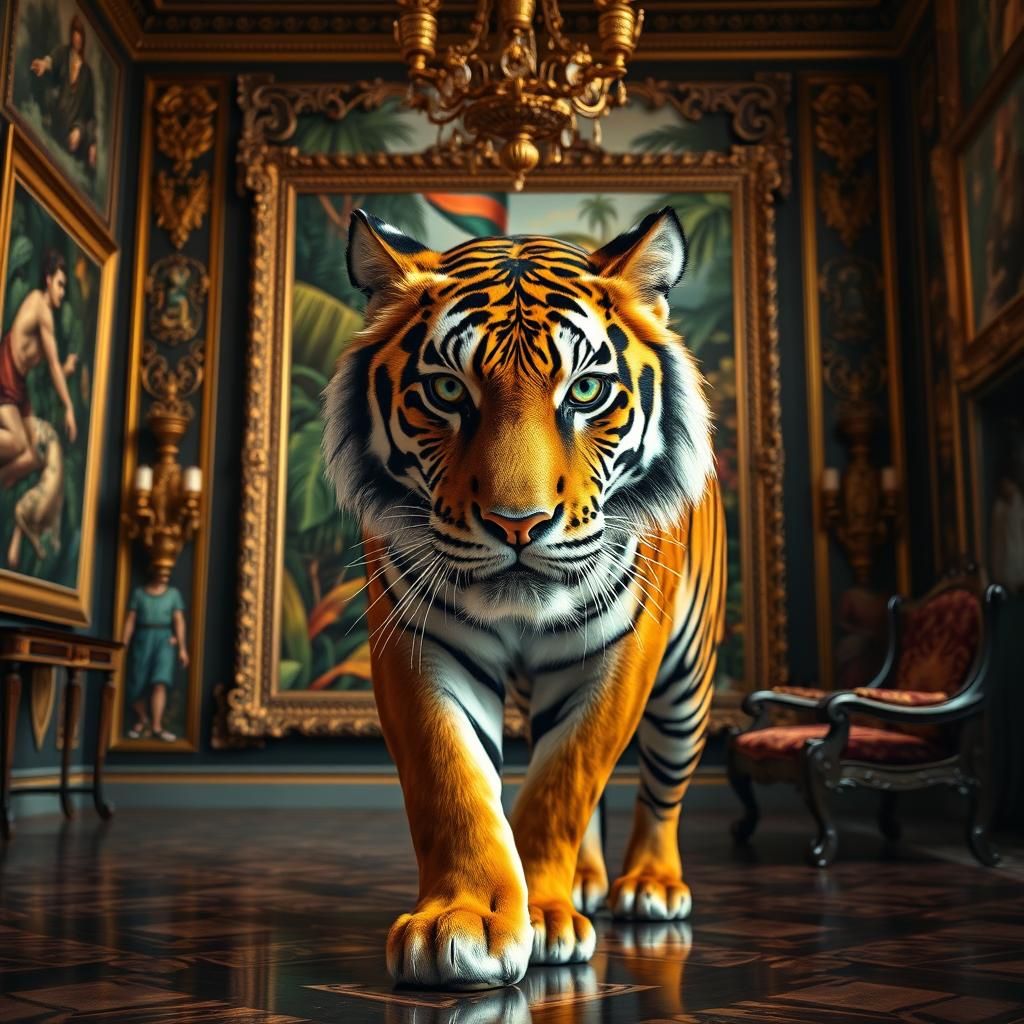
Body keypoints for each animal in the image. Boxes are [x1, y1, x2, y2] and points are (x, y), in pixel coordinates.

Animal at [322, 206, 726, 990]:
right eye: (449, 393)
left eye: (586, 392)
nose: (519, 524)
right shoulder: (419, 642)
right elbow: (451, 779)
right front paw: (459, 922)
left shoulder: (622, 653)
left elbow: (563, 784)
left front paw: (543, 916)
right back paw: (589, 882)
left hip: (686, 681)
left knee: (663, 784)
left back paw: (650, 885)